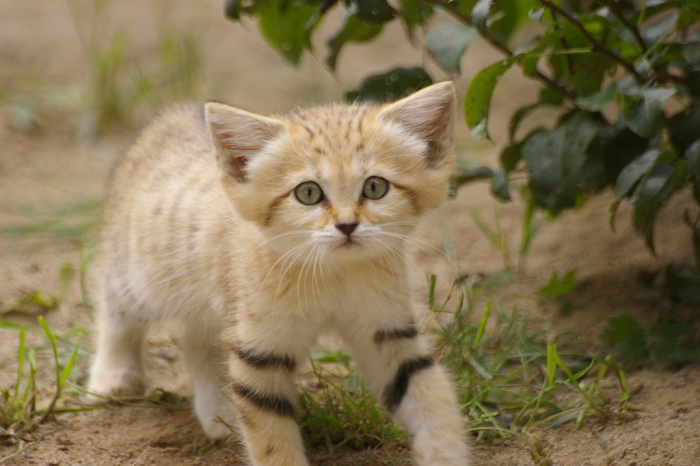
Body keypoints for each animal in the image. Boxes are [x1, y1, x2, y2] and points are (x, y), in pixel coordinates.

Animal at [89, 83, 470, 466]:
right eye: (308, 193)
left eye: (375, 187)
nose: (347, 225)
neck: (334, 274)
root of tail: (169, 118)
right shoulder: (259, 349)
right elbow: (271, 436)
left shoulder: (388, 331)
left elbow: (430, 392)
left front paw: (446, 451)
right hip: (140, 273)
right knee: (115, 306)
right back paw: (114, 375)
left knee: (198, 343)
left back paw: (217, 413)